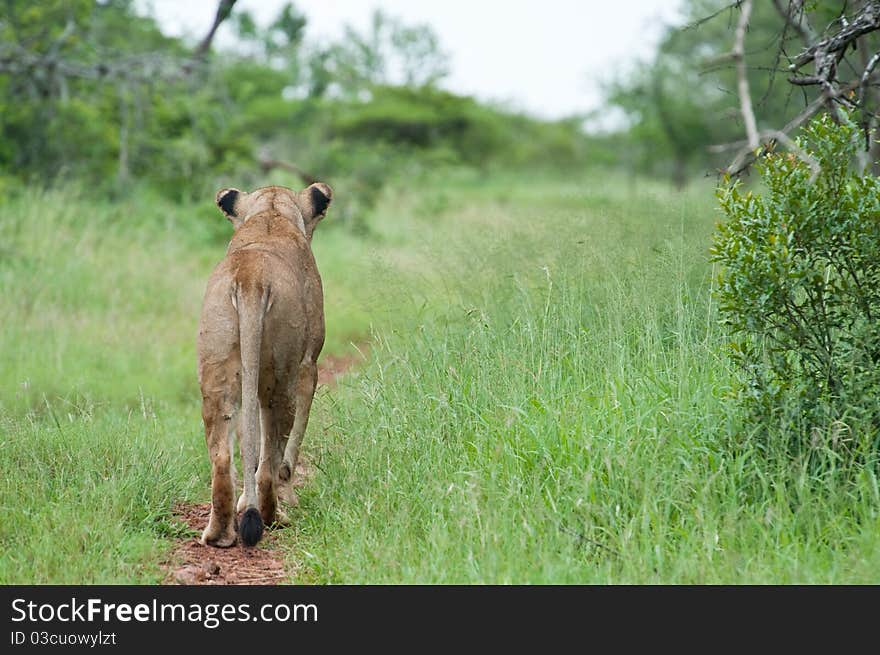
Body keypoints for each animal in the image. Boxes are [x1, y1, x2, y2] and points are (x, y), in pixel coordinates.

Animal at [198, 182, 332, 544]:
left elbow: (249, 440)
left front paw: (246, 501)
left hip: (217, 371)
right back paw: (274, 516)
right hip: (282, 377)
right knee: (271, 459)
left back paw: (218, 535)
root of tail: (250, 278)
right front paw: (284, 494)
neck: (270, 217)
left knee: (223, 456)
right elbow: (286, 446)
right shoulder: (308, 364)